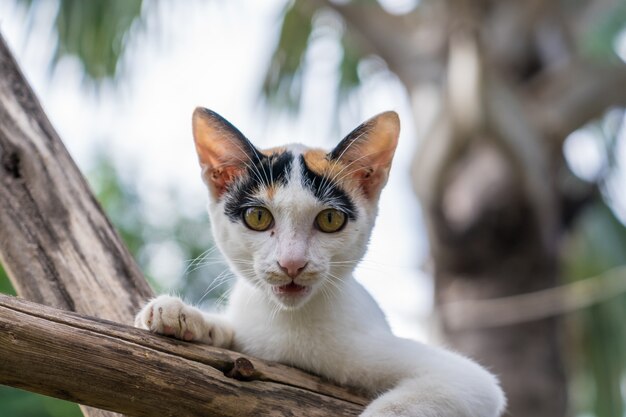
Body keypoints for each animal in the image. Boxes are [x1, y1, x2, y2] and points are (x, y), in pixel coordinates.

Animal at [134, 108, 504, 416]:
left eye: (329, 220)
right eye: (257, 217)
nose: (292, 263)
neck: (290, 324)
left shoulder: (469, 382)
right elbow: (234, 334)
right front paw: (182, 315)